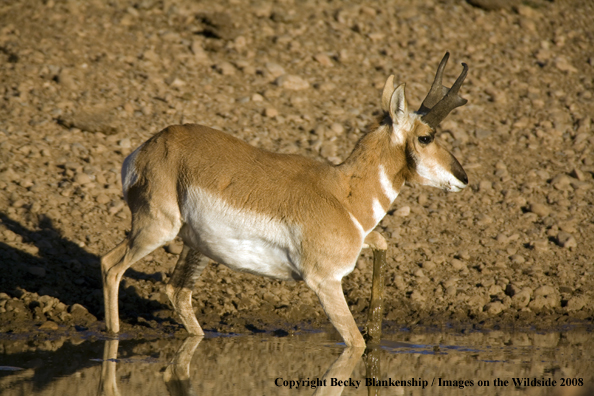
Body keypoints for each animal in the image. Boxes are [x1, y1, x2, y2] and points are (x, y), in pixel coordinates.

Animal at [99, 52, 468, 346]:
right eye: (426, 136)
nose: (463, 178)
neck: (343, 193)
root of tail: (150, 146)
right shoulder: (326, 283)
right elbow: (356, 343)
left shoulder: (359, 243)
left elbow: (382, 242)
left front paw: (376, 326)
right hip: (157, 229)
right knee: (110, 266)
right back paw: (113, 336)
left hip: (195, 246)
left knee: (176, 291)